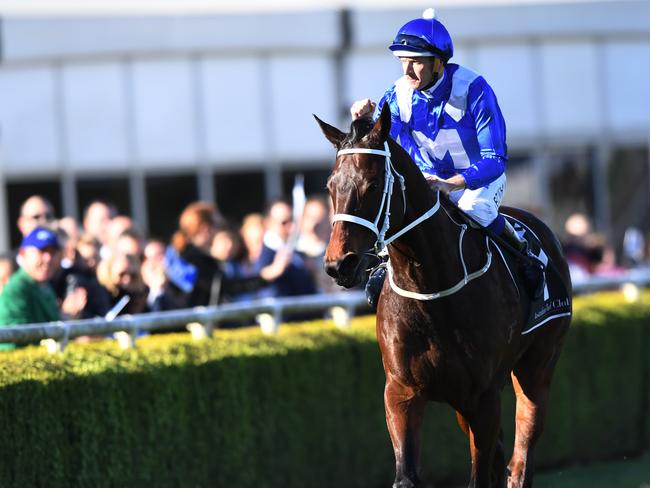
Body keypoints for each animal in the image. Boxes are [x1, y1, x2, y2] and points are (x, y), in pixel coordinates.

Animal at [316, 107, 568, 488]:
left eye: (372, 185)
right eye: (331, 186)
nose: (338, 264)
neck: (431, 292)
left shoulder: (483, 395)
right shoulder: (403, 391)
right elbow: (407, 475)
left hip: (537, 368)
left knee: (521, 459)